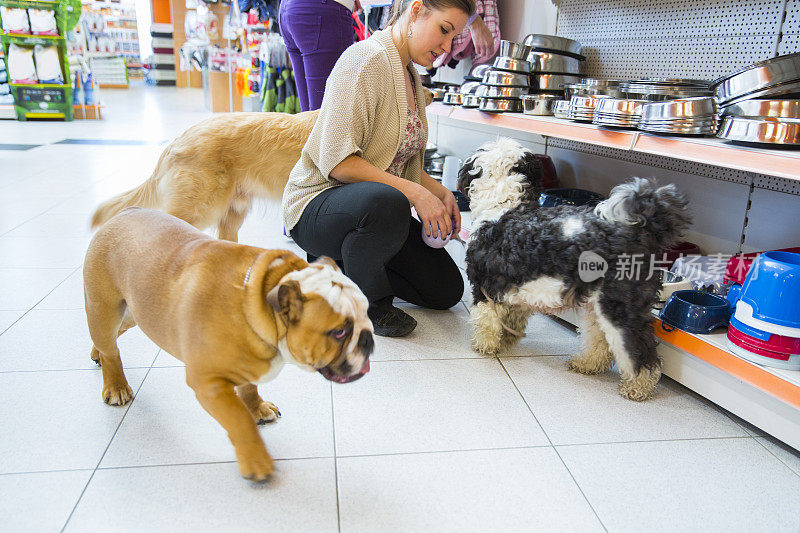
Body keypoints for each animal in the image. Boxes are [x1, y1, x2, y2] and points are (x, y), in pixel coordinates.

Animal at [460, 138, 692, 400]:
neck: (505, 205)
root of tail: (642, 229)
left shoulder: (484, 286)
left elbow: (486, 320)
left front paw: (485, 346)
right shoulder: (517, 288)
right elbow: (512, 317)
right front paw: (507, 339)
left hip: (620, 308)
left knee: (640, 351)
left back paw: (637, 387)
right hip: (598, 307)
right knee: (601, 343)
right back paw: (587, 364)